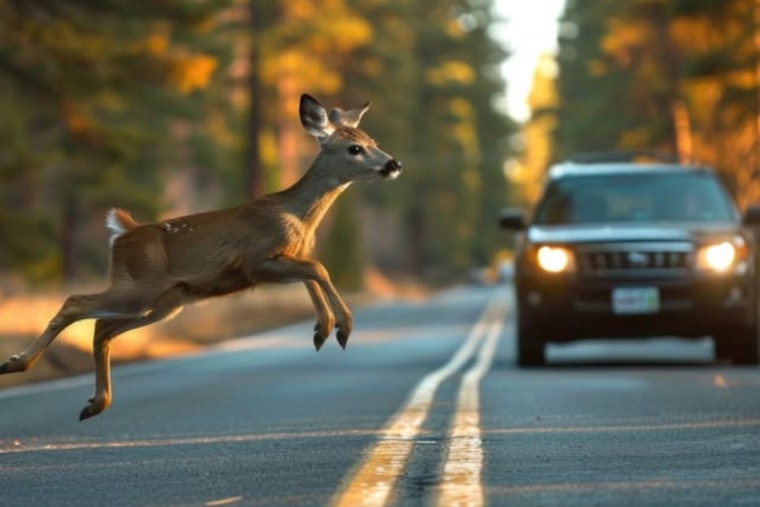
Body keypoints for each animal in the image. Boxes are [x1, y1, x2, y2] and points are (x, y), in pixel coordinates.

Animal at [0, 94, 402, 421]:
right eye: (355, 149)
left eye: (375, 142)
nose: (393, 164)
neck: (296, 217)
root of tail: (122, 233)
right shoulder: (255, 260)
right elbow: (318, 268)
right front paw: (341, 327)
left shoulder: (276, 262)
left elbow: (312, 272)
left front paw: (323, 329)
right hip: (139, 288)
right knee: (76, 302)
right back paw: (17, 363)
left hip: (166, 302)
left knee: (102, 328)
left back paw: (94, 403)